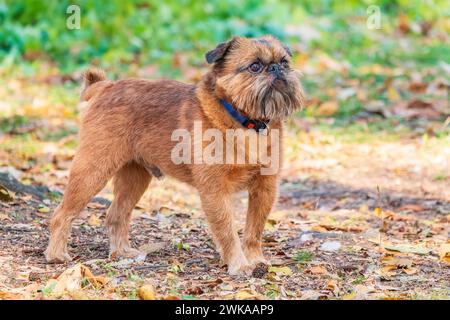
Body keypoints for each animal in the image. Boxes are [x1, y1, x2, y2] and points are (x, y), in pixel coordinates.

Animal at [45, 35, 304, 276]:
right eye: (255, 66)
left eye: (284, 62)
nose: (276, 68)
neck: (247, 123)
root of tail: (105, 86)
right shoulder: (215, 190)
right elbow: (227, 229)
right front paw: (239, 264)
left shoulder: (265, 187)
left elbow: (254, 230)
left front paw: (256, 259)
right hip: (93, 169)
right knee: (62, 214)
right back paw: (56, 254)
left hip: (135, 178)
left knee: (116, 215)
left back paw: (122, 252)